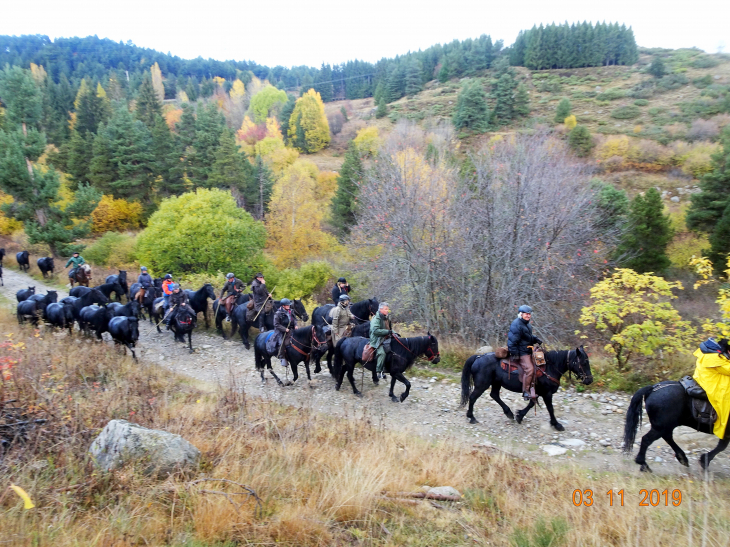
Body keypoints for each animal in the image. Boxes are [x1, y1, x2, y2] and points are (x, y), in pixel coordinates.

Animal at [460, 346, 592, 432]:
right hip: (482, 385)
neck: (550, 368)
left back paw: (509, 413)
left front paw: (519, 416)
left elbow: (531, 404)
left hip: (496, 383)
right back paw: (471, 417)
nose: (589, 380)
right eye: (583, 363)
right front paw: (557, 425)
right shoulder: (547, 393)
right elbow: (550, 408)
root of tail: (478, 357)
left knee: (494, 395)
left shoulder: (537, 392)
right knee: (473, 397)